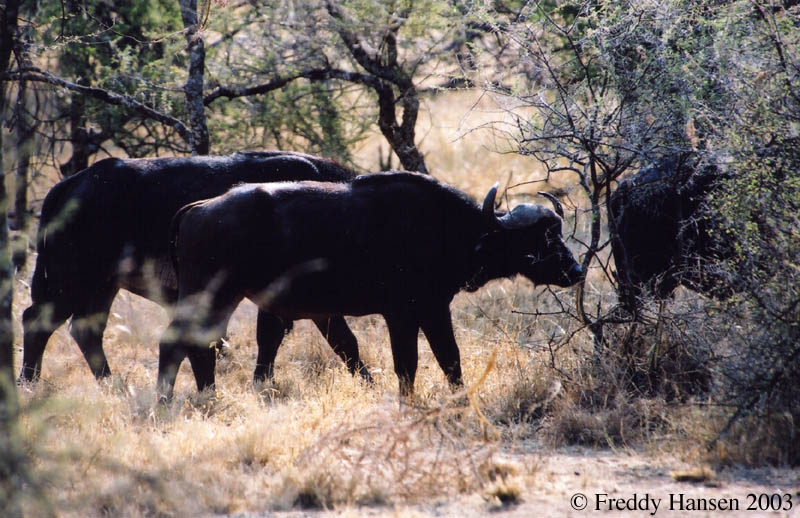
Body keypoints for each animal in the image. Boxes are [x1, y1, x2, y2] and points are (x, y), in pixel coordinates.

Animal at [20, 151, 370, 385]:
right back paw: (29, 382)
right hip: (72, 280)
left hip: (104, 284)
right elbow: (276, 338)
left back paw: (111, 384)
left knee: (86, 330)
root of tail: (70, 186)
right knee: (36, 321)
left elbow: (341, 341)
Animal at [158, 171, 583, 398]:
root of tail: (200, 208)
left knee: (192, 345)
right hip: (213, 296)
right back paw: (183, 398)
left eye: (558, 232)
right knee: (181, 342)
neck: (448, 228)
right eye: (539, 238)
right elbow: (408, 364)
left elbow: (449, 358)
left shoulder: (432, 309)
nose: (576, 271)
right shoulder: (405, 313)